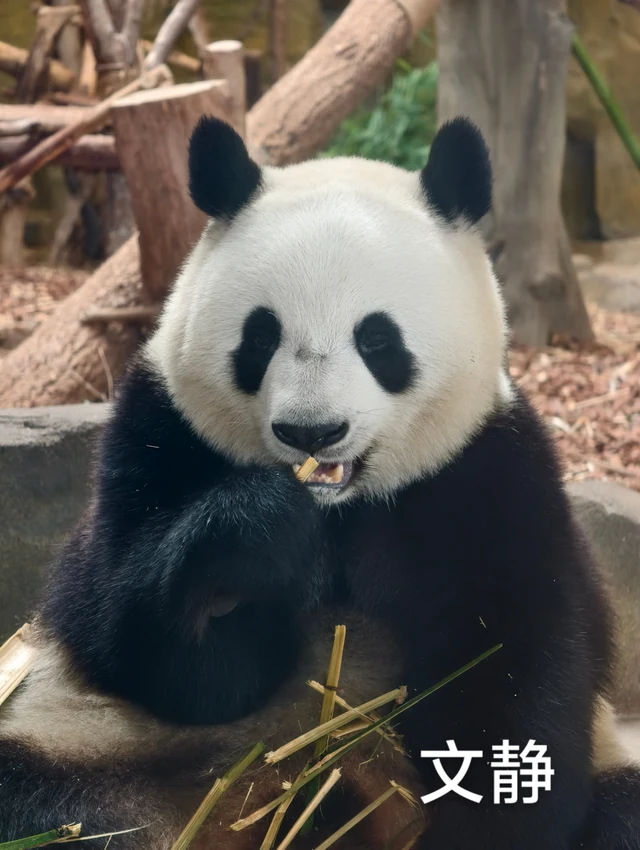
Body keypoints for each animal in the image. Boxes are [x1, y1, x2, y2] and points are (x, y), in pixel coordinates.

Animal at [1, 116, 639, 850]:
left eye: (378, 340)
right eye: (260, 337)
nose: (312, 432)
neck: (342, 509)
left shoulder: (486, 474)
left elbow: (518, 669)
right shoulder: (156, 440)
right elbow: (148, 648)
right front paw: (255, 540)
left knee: (620, 810)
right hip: (90, 744)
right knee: (53, 804)